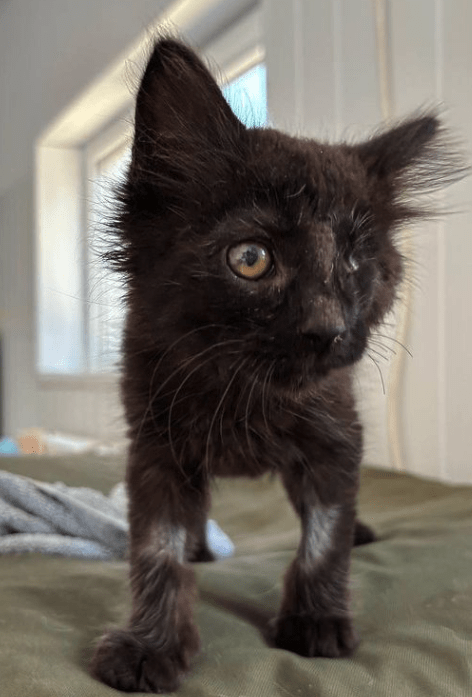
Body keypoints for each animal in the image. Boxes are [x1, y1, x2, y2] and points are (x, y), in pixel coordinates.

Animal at [89, 39, 464, 696]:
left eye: (356, 262)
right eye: (250, 259)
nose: (326, 329)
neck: (245, 393)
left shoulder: (335, 436)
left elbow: (325, 536)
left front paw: (317, 620)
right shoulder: (156, 444)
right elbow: (157, 549)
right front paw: (150, 645)